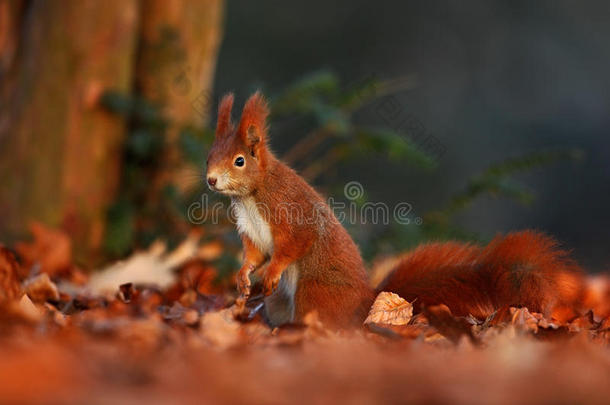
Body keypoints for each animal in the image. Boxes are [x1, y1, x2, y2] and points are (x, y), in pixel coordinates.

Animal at [207, 90, 580, 326]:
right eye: (210, 155)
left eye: (239, 161)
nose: (210, 180)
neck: (252, 194)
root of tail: (364, 304)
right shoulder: (251, 230)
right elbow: (254, 253)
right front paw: (243, 277)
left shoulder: (288, 209)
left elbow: (295, 243)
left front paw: (270, 272)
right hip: (283, 301)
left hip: (316, 292)